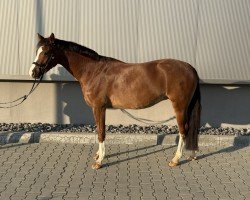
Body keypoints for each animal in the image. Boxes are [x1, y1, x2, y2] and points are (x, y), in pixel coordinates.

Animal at [29, 33, 201, 170]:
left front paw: (99, 161)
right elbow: (99, 130)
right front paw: (98, 155)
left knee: (184, 130)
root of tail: (190, 68)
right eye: (37, 51)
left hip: (179, 106)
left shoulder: (99, 107)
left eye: (46, 52)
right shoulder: (98, 109)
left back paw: (175, 159)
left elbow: (101, 132)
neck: (93, 71)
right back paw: (191, 155)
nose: (33, 72)